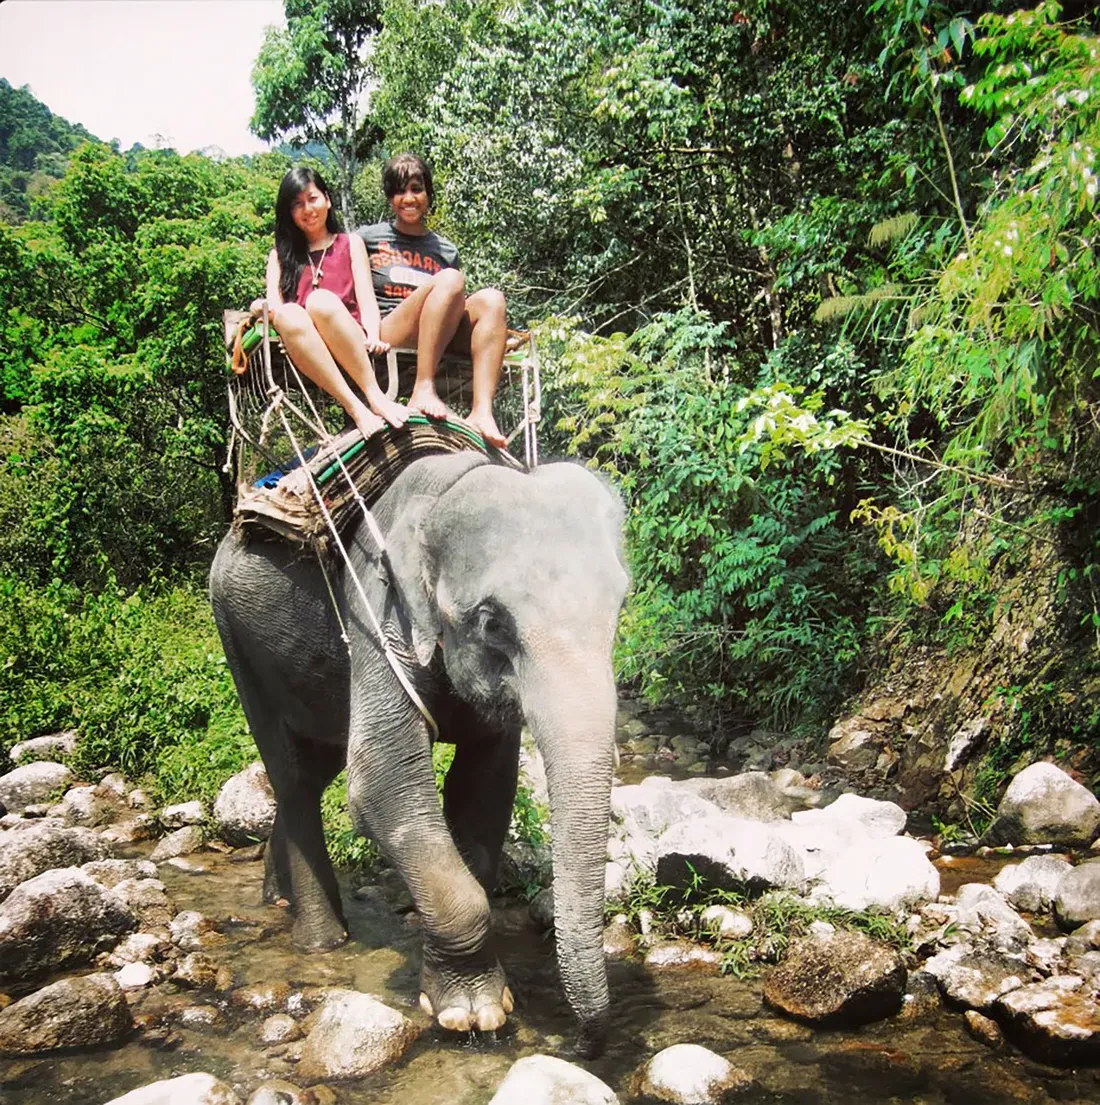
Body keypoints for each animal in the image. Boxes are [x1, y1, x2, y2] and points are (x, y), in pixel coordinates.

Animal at [208, 448, 627, 1051]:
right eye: (492, 624)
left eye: (620, 606)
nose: (581, 1044)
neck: (449, 485)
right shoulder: (375, 611)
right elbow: (379, 781)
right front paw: (472, 1013)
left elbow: (484, 789)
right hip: (235, 637)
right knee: (293, 776)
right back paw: (321, 939)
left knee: (314, 768)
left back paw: (274, 898)